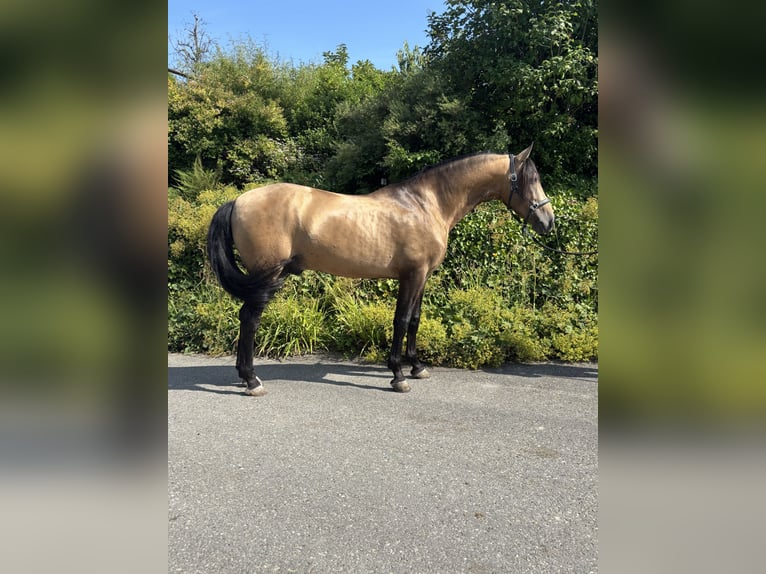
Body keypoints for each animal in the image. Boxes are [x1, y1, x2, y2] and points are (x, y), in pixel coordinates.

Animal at [206, 144, 554, 396]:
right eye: (531, 180)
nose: (548, 221)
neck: (425, 204)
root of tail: (237, 201)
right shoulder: (411, 275)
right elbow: (400, 320)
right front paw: (398, 375)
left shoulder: (423, 276)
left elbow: (414, 320)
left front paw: (417, 367)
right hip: (267, 275)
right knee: (250, 319)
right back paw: (252, 381)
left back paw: (244, 376)